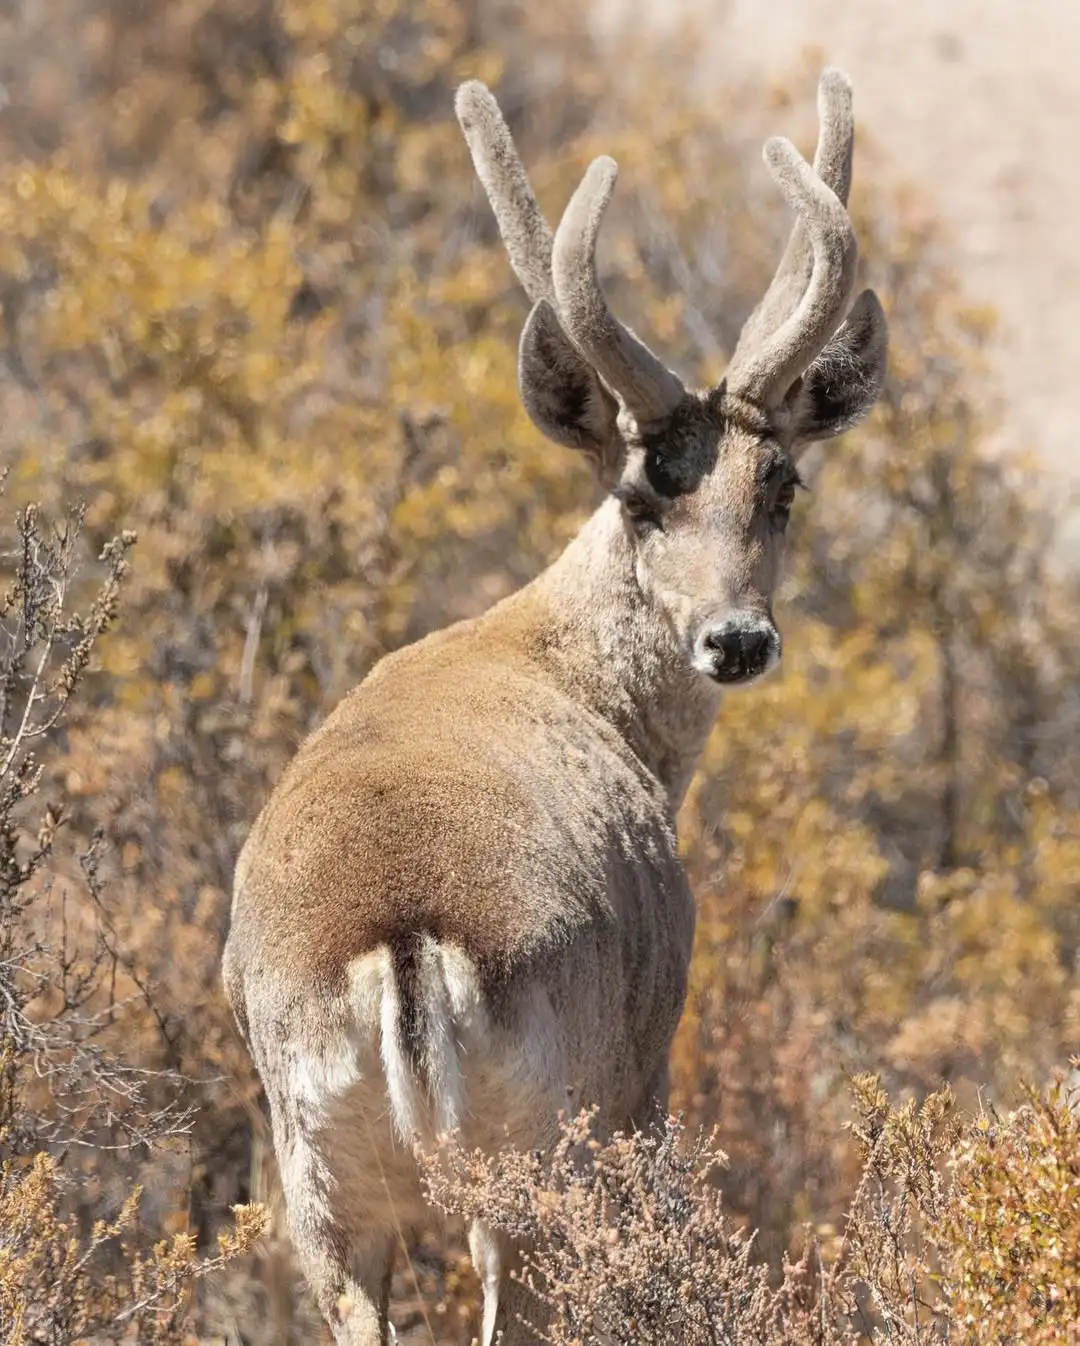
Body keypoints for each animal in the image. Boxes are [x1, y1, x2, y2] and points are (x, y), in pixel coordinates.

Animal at [222, 68, 887, 1346]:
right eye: (640, 493)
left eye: (781, 482)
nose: (737, 637)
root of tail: (402, 943)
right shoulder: (647, 1061)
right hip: (546, 1143)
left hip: (315, 1171)